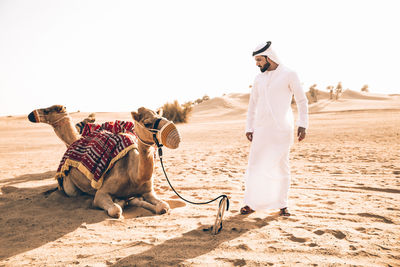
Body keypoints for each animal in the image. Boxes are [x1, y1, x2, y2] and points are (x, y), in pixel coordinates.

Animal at [28, 103, 182, 219]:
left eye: (163, 116)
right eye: (147, 123)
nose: (31, 115)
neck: (134, 175)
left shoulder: (148, 192)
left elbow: (164, 206)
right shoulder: (101, 193)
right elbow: (116, 210)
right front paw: (121, 201)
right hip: (70, 187)